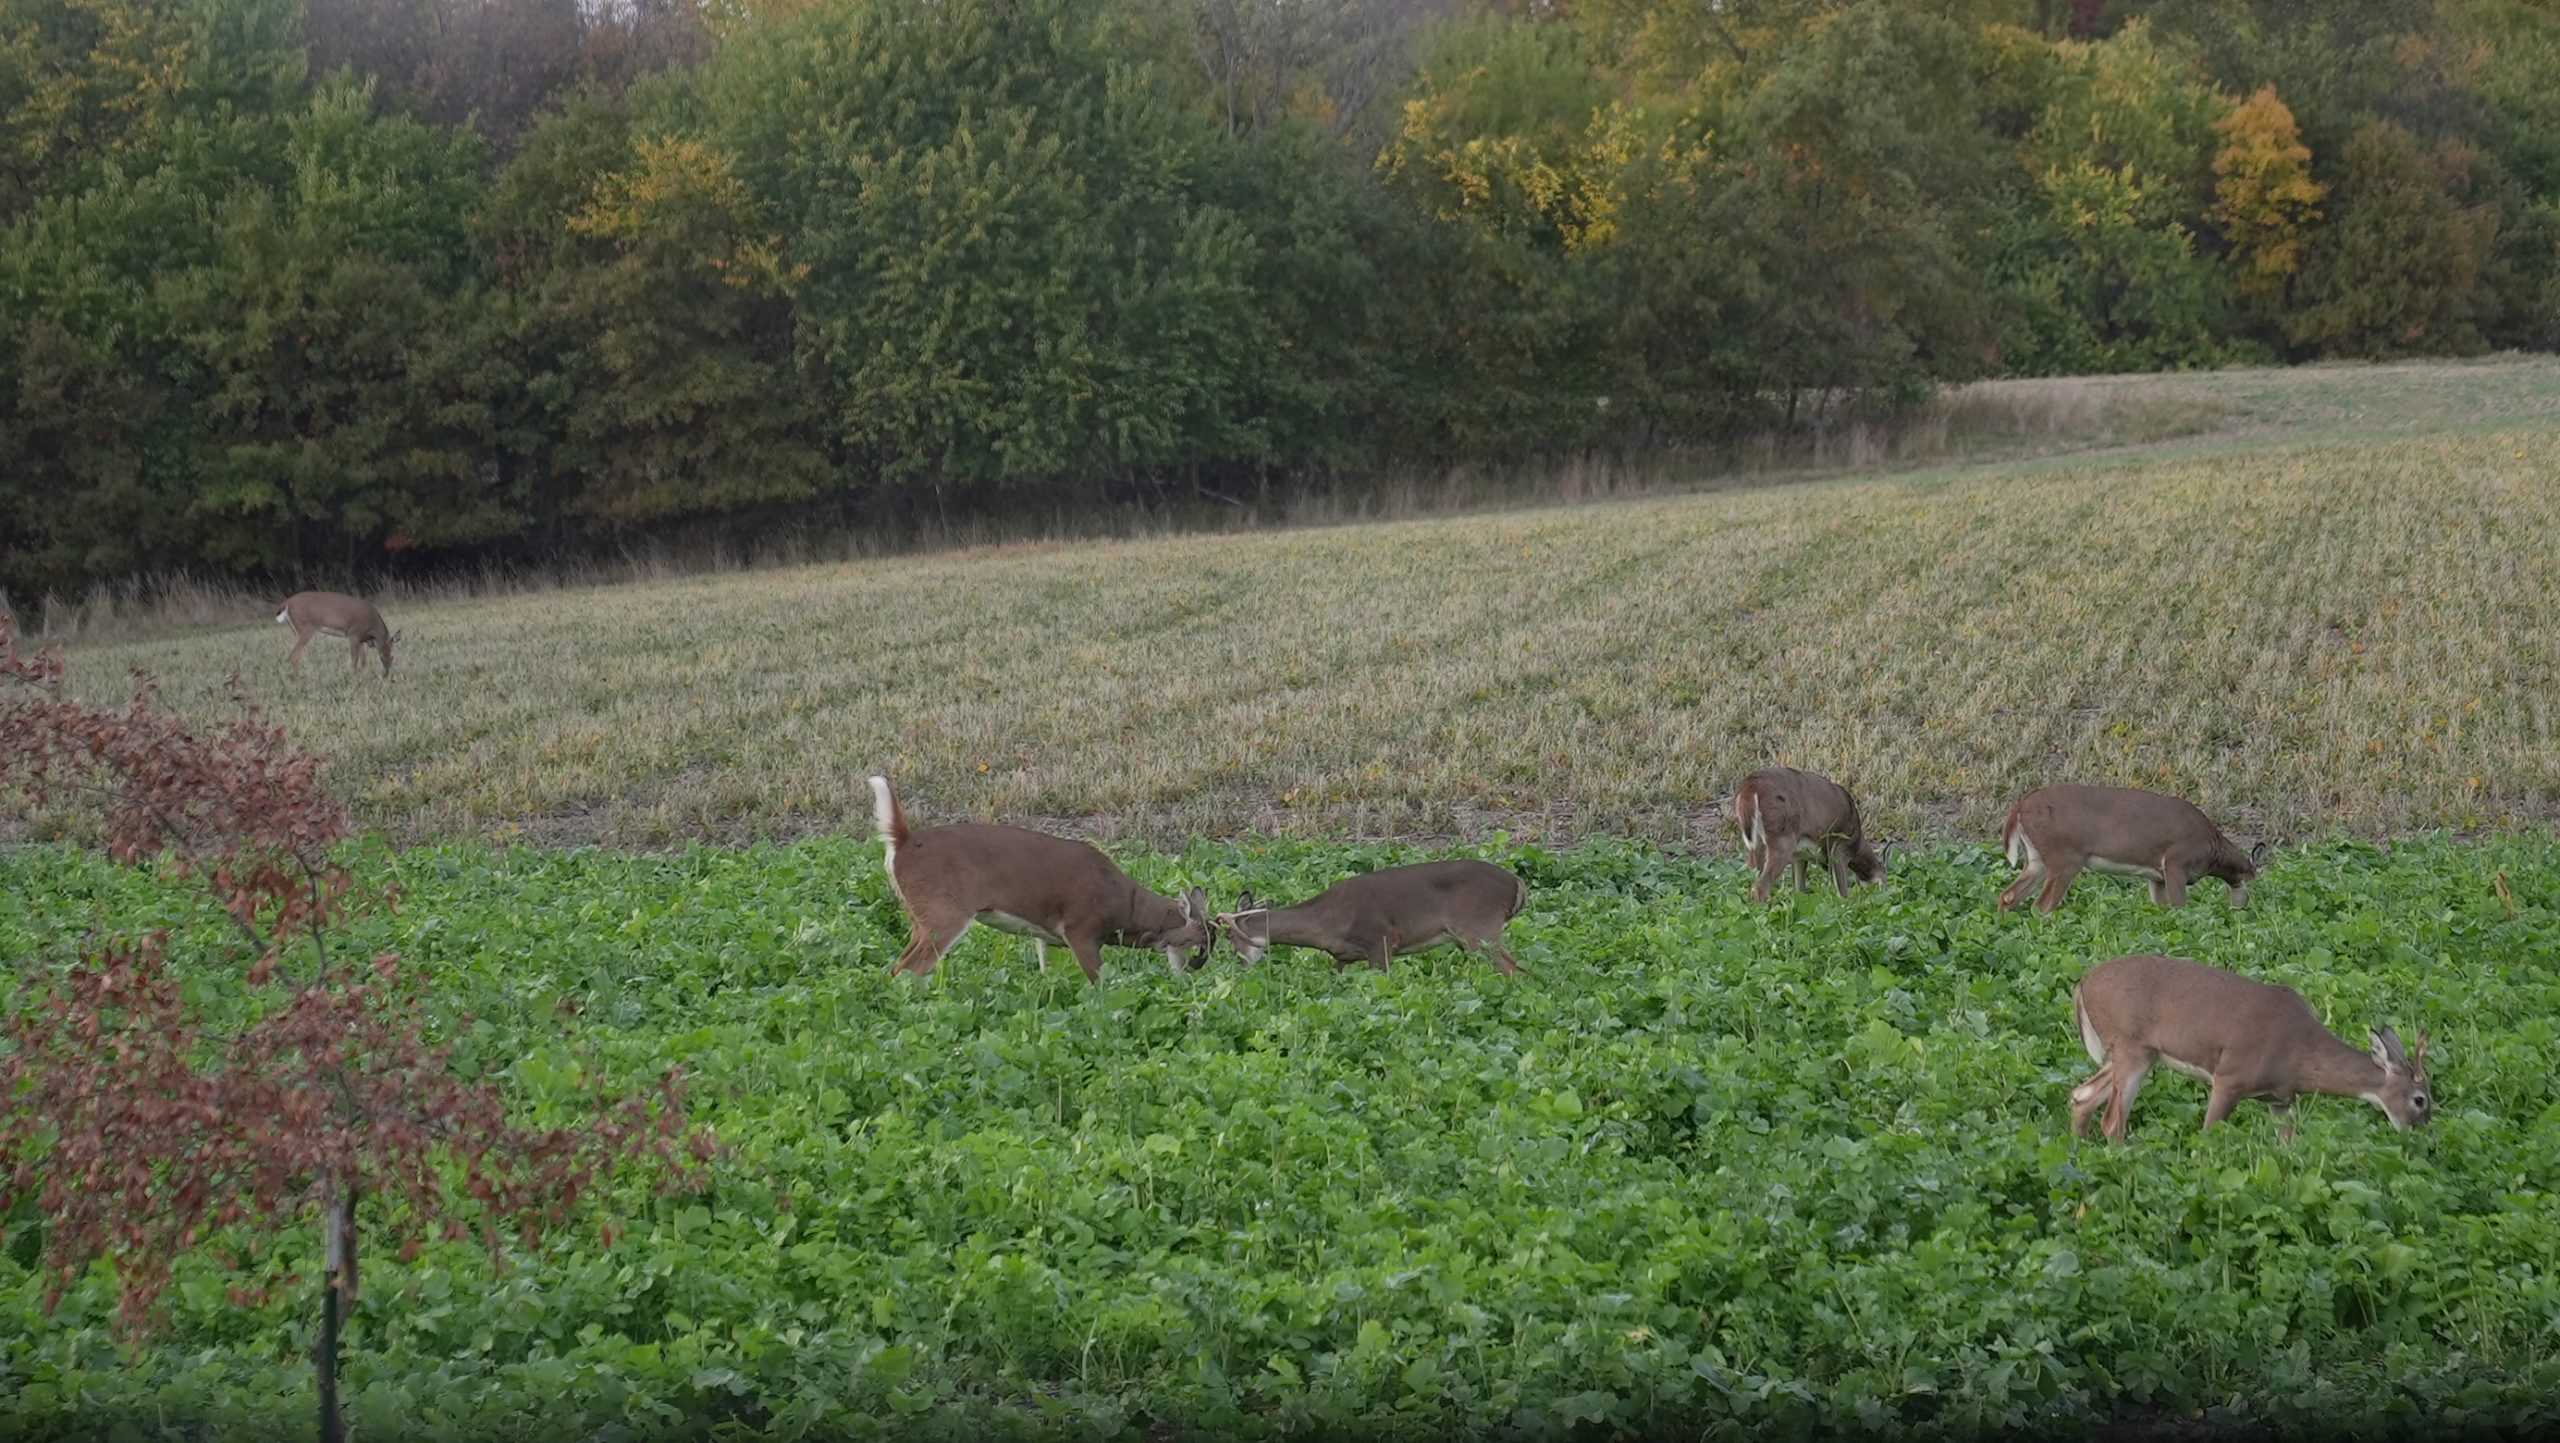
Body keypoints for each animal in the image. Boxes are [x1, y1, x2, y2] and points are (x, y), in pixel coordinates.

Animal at [870, 772, 1208, 987]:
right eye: (1200, 940)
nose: (1197, 970)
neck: (1127, 910)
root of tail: (902, 842)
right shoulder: (1080, 928)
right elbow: (1099, 982)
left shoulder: (1047, 938)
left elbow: (1049, 973)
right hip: (945, 912)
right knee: (907, 969)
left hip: (919, 916)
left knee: (898, 965)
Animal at [1213, 854, 1515, 982]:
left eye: (1228, 934)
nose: (1241, 965)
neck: (1326, 922)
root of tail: (1516, 887)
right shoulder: (1342, 957)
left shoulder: (1382, 940)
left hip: (1479, 929)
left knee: (1513, 969)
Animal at [1730, 767, 1894, 900]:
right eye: (1886, 879)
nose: (1888, 894)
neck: (1857, 843)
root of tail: (1750, 787)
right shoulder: (1839, 848)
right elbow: (1842, 892)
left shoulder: (1799, 856)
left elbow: (1799, 891)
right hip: (1781, 837)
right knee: (1760, 888)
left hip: (1756, 843)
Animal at [1996, 788, 2263, 910]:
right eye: (2256, 883)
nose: (2243, 910)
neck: (2212, 850)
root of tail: (2019, 807)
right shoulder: (2176, 862)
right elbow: (2179, 907)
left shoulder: (2157, 876)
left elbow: (2161, 907)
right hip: (2065, 857)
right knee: (2042, 906)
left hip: (2037, 858)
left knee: (2008, 895)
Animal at [2058, 951, 2437, 1146]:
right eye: (2421, 1099)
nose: (2421, 1133)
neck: (2299, 1053)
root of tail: (2082, 985)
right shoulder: (2230, 1077)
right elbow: (2208, 1137)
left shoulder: (2282, 1099)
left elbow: (2288, 1145)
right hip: (2131, 1047)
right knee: (2112, 1120)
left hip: (2136, 1052)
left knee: (2081, 1095)